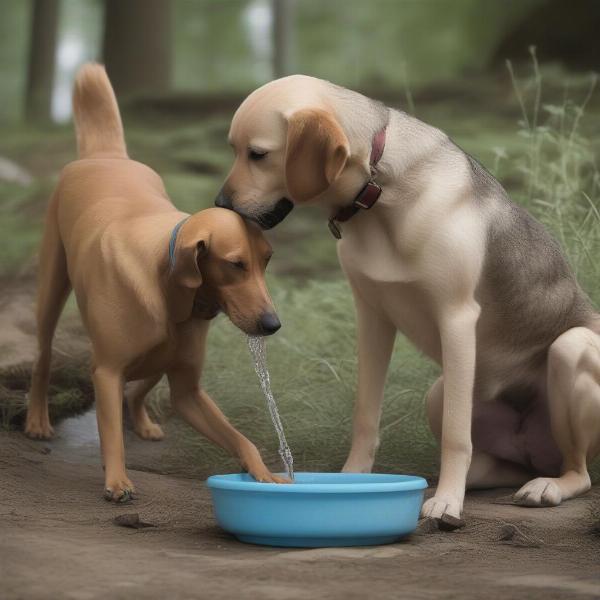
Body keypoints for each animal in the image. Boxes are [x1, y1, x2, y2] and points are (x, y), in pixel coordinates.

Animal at [24, 64, 286, 502]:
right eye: (235, 265)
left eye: (266, 260)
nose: (273, 325)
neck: (172, 290)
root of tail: (106, 155)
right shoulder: (106, 371)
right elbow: (110, 431)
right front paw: (117, 481)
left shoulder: (188, 391)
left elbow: (239, 438)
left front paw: (266, 475)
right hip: (51, 287)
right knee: (43, 358)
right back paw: (37, 420)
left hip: (162, 356)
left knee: (140, 385)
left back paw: (143, 422)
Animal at [216, 75, 600, 524]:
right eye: (235, 150)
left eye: (258, 155)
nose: (220, 205)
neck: (380, 190)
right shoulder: (372, 318)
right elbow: (365, 416)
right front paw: (352, 481)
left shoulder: (456, 318)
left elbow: (456, 435)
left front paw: (447, 502)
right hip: (439, 393)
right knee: (504, 467)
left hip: (568, 350)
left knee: (577, 472)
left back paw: (545, 487)